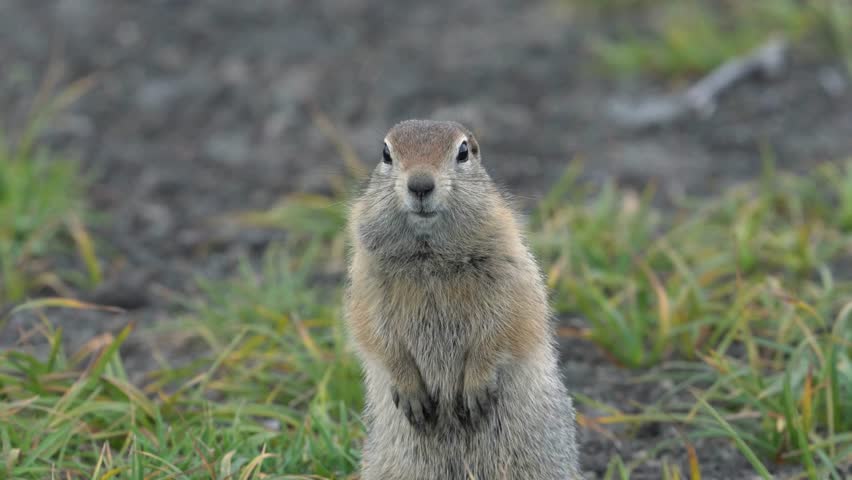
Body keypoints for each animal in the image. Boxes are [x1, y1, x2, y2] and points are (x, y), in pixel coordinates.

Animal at [345, 120, 580, 479]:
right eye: (386, 153)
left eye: (463, 151)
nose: (420, 185)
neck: (428, 256)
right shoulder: (365, 280)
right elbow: (374, 334)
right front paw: (410, 392)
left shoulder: (509, 269)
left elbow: (506, 326)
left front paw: (476, 387)